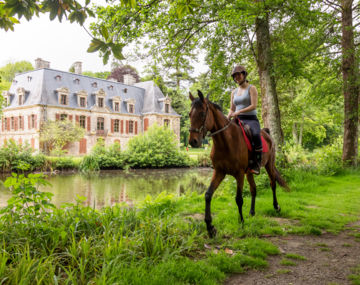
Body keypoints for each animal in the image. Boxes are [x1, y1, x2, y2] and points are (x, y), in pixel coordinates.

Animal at [188, 90, 290, 236]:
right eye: (189, 114)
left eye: (202, 113)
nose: (193, 141)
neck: (226, 141)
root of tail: (266, 133)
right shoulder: (219, 172)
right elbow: (208, 195)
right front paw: (210, 227)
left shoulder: (239, 174)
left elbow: (239, 199)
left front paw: (241, 222)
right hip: (250, 172)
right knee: (254, 189)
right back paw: (252, 212)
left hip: (269, 165)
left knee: (273, 184)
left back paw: (276, 207)